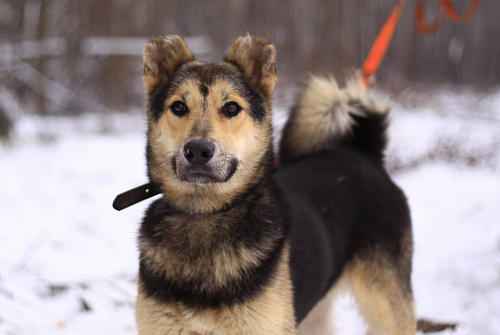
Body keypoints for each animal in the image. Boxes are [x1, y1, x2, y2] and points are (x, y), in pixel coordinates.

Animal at [135, 35, 416, 334]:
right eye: (178, 107)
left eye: (232, 108)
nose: (198, 150)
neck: (204, 216)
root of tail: (364, 152)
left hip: (387, 305)